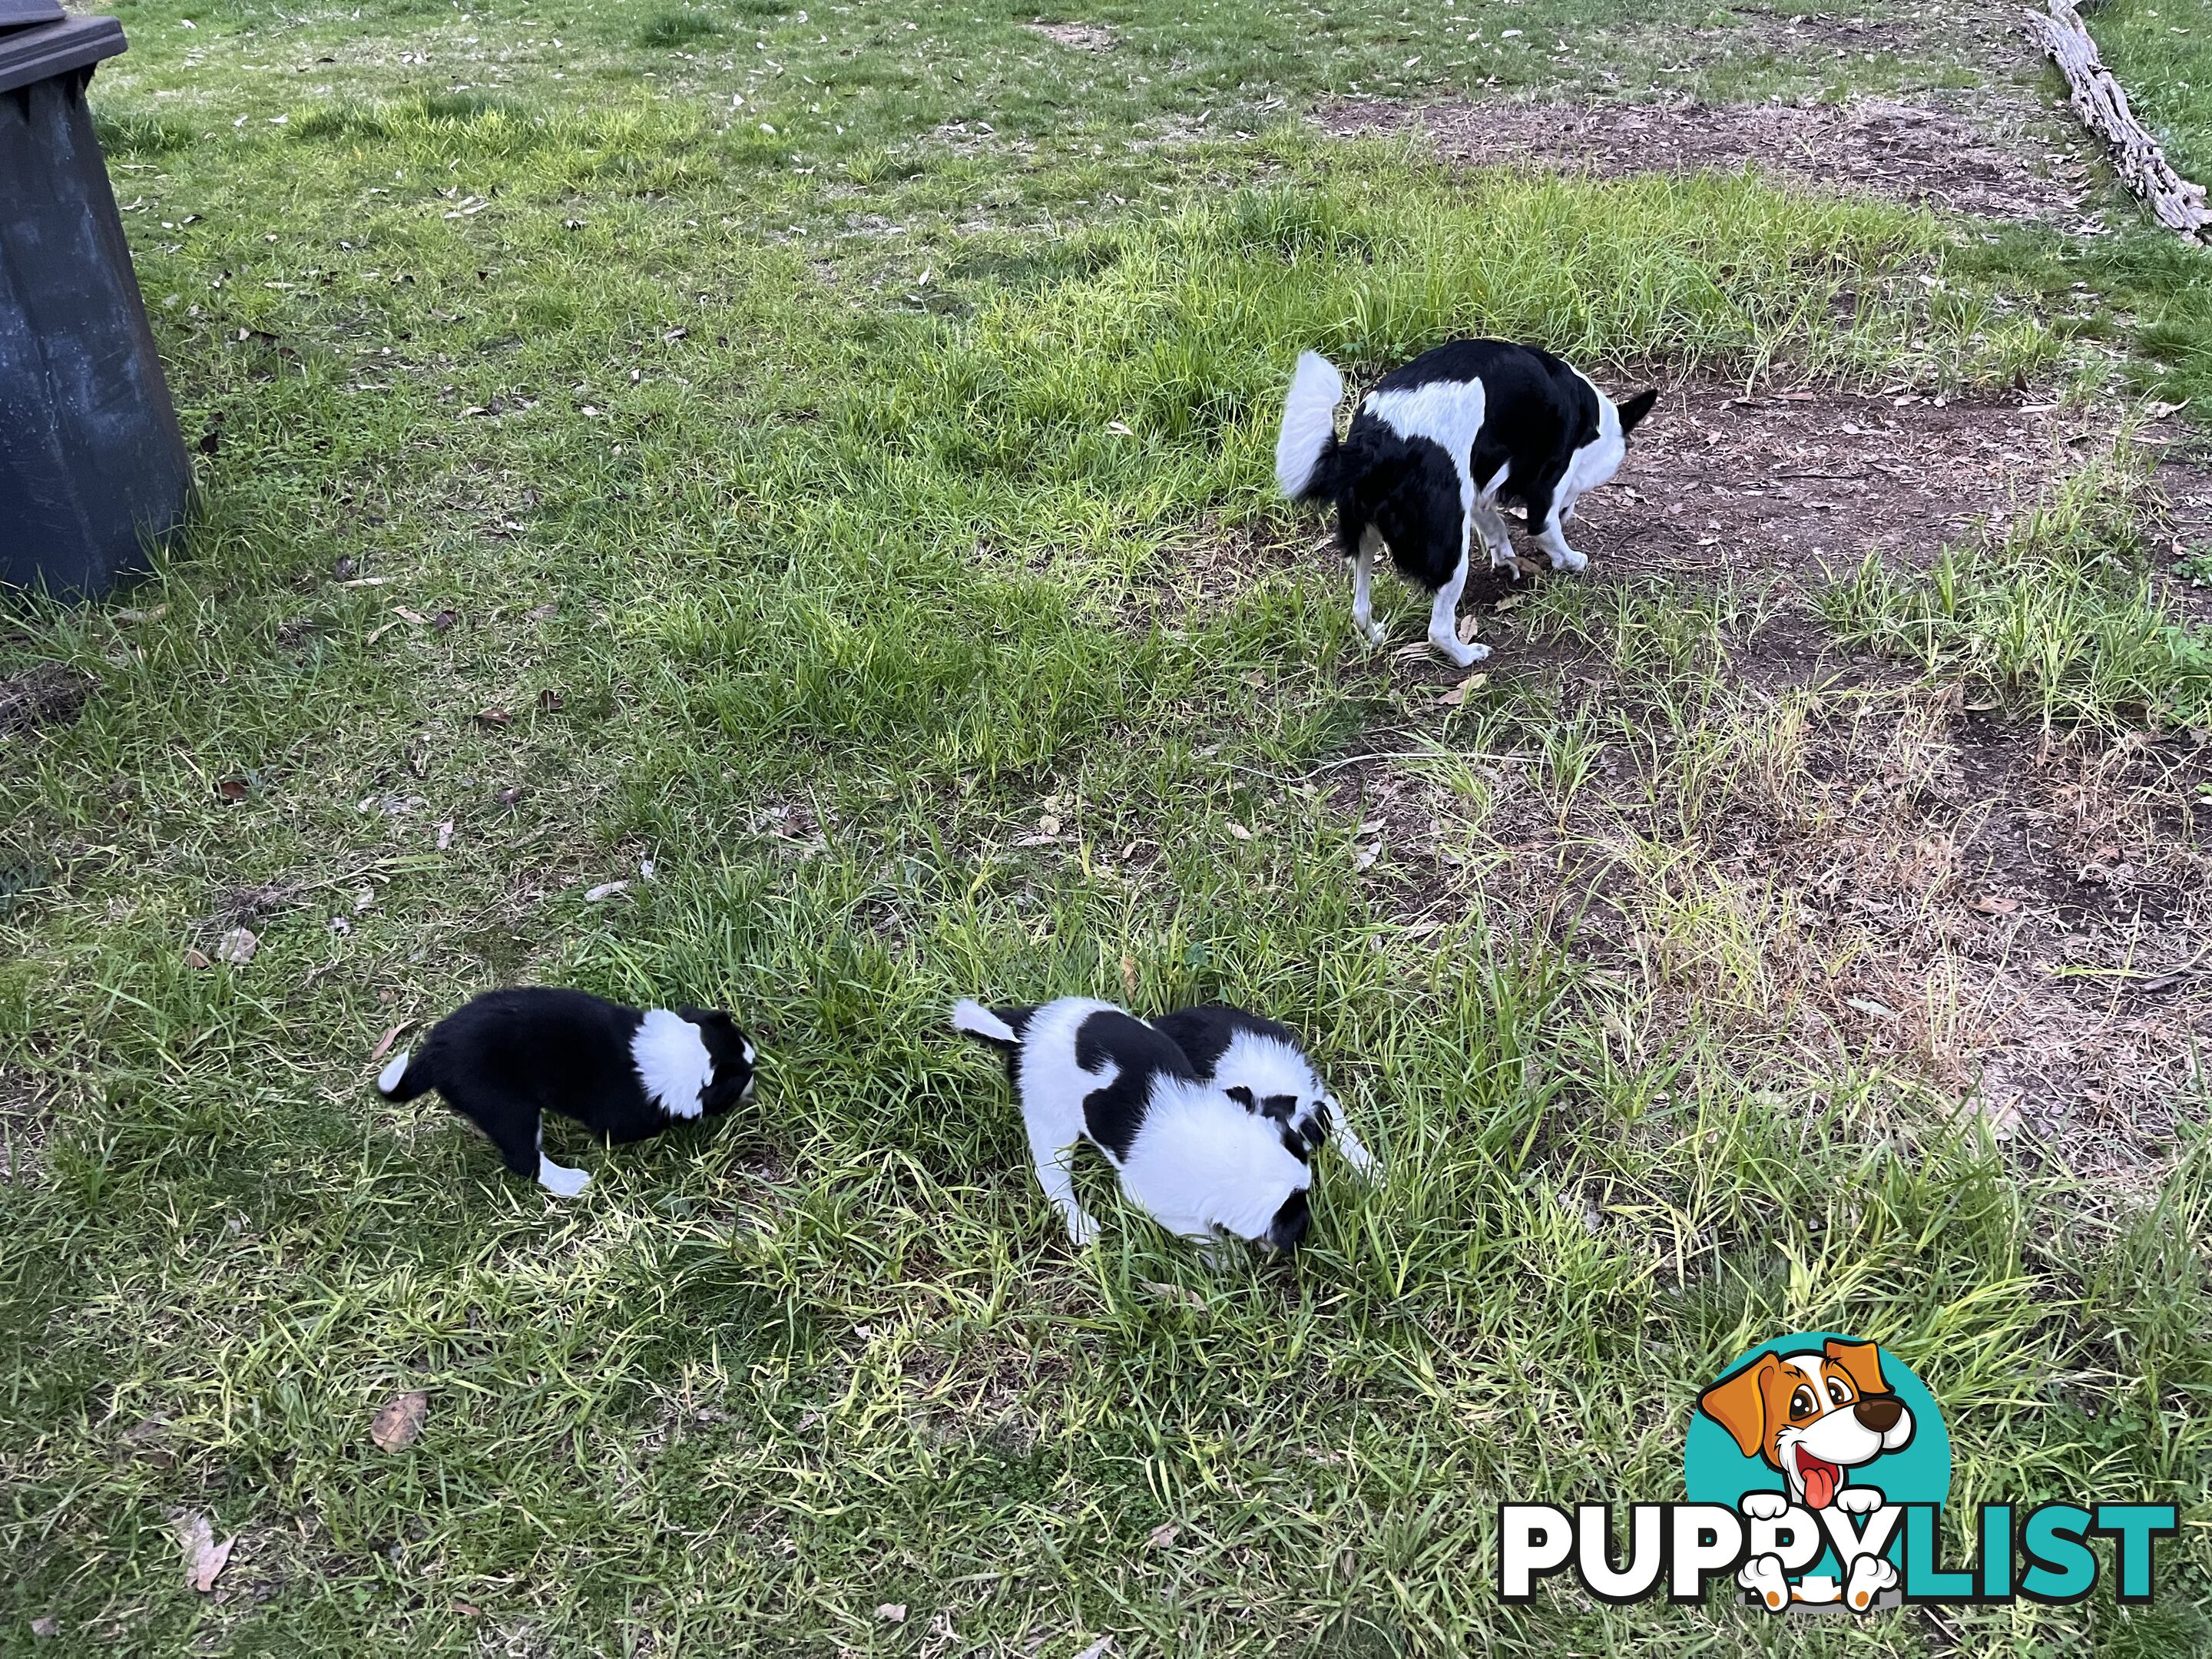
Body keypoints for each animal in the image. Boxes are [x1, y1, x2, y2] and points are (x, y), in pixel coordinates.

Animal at [376, 986, 756, 1194]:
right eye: (741, 1078)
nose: (757, 1064)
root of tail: (433, 1054)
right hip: (507, 1109)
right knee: (523, 1158)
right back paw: (571, 1183)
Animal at [951, 995, 1309, 1256]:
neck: (1228, 1152)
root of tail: (1026, 1028)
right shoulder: (1152, 1201)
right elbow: (1199, 1232)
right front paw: (1225, 1258)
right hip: (1051, 1125)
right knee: (1053, 1178)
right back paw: (1079, 1223)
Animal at [1273, 338, 1654, 667]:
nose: (1570, 513)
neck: (1589, 417)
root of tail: (1374, 443)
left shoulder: (1477, 492)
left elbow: (1496, 527)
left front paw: (1506, 559)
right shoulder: (1546, 489)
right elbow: (1548, 535)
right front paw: (1572, 561)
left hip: (1366, 535)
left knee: (1360, 605)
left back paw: (1375, 634)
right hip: (1450, 550)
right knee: (1438, 629)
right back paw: (1467, 656)